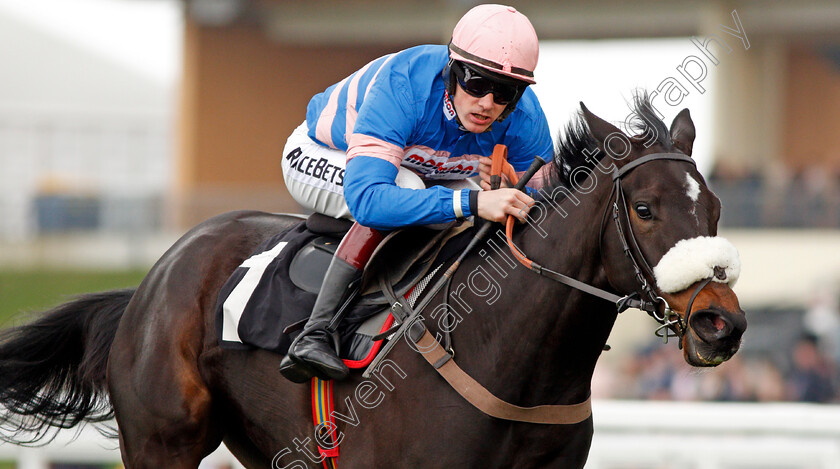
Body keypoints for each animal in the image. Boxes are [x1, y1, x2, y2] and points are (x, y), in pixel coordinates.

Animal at [0, 96, 748, 468]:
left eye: (714, 207)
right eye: (645, 208)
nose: (723, 323)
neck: (510, 357)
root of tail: (149, 283)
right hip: (163, 440)